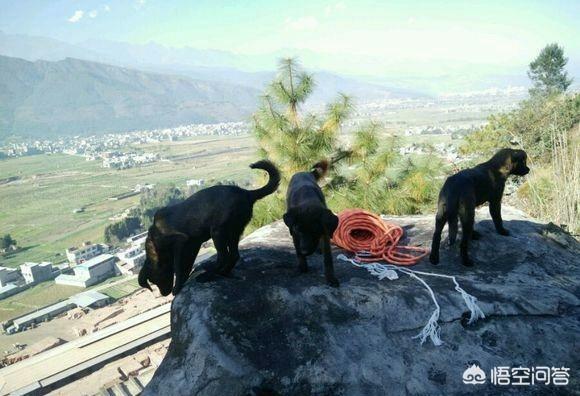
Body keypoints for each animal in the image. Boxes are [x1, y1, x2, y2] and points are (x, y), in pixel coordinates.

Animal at [137, 159, 280, 296]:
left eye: (154, 280)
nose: (164, 294)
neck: (155, 240)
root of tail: (247, 193)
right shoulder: (193, 245)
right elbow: (187, 265)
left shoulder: (180, 242)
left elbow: (178, 267)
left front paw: (177, 288)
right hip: (233, 232)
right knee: (234, 255)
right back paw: (222, 273)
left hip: (217, 232)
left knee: (223, 256)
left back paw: (208, 276)